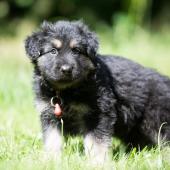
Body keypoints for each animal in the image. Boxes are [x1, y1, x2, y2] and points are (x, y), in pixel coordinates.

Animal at [24, 19, 170, 163]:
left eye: (76, 51)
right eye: (53, 51)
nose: (66, 69)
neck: (67, 91)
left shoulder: (98, 114)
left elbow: (96, 142)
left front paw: (98, 162)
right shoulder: (49, 115)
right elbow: (52, 140)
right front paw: (52, 160)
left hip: (159, 121)